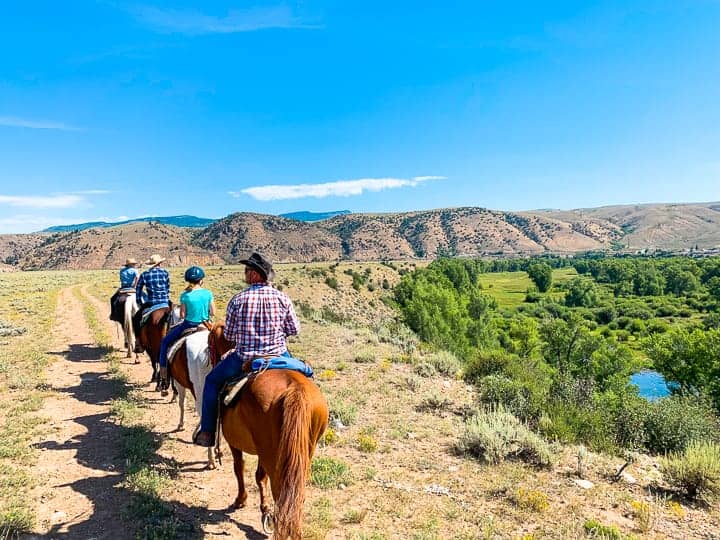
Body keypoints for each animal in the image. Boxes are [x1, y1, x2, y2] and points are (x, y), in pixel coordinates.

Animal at [208, 322, 330, 536]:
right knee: (295, 496)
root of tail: (295, 390)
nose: (210, 359)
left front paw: (241, 500)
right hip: (301, 453)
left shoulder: (235, 443)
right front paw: (264, 511)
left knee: (280, 493)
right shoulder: (263, 451)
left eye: (209, 344)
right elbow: (259, 476)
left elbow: (240, 468)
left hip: (274, 457)